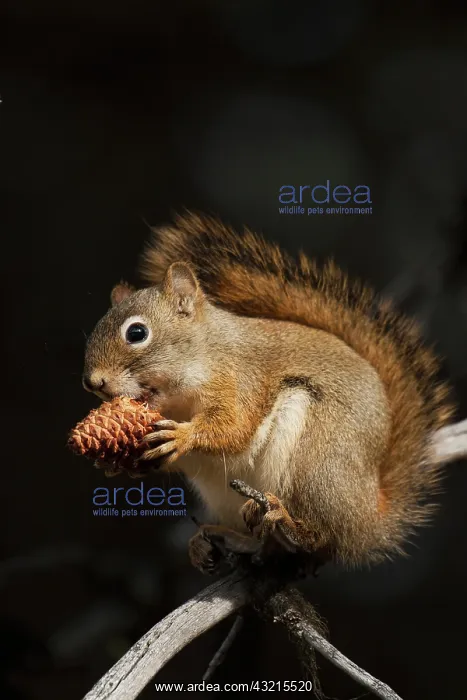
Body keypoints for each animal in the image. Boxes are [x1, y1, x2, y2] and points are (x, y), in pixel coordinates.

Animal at [82, 212, 454, 574]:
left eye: (137, 333)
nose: (92, 382)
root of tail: (369, 521)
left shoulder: (241, 380)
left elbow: (234, 427)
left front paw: (183, 436)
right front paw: (116, 464)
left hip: (318, 462)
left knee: (324, 538)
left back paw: (288, 523)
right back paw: (219, 539)